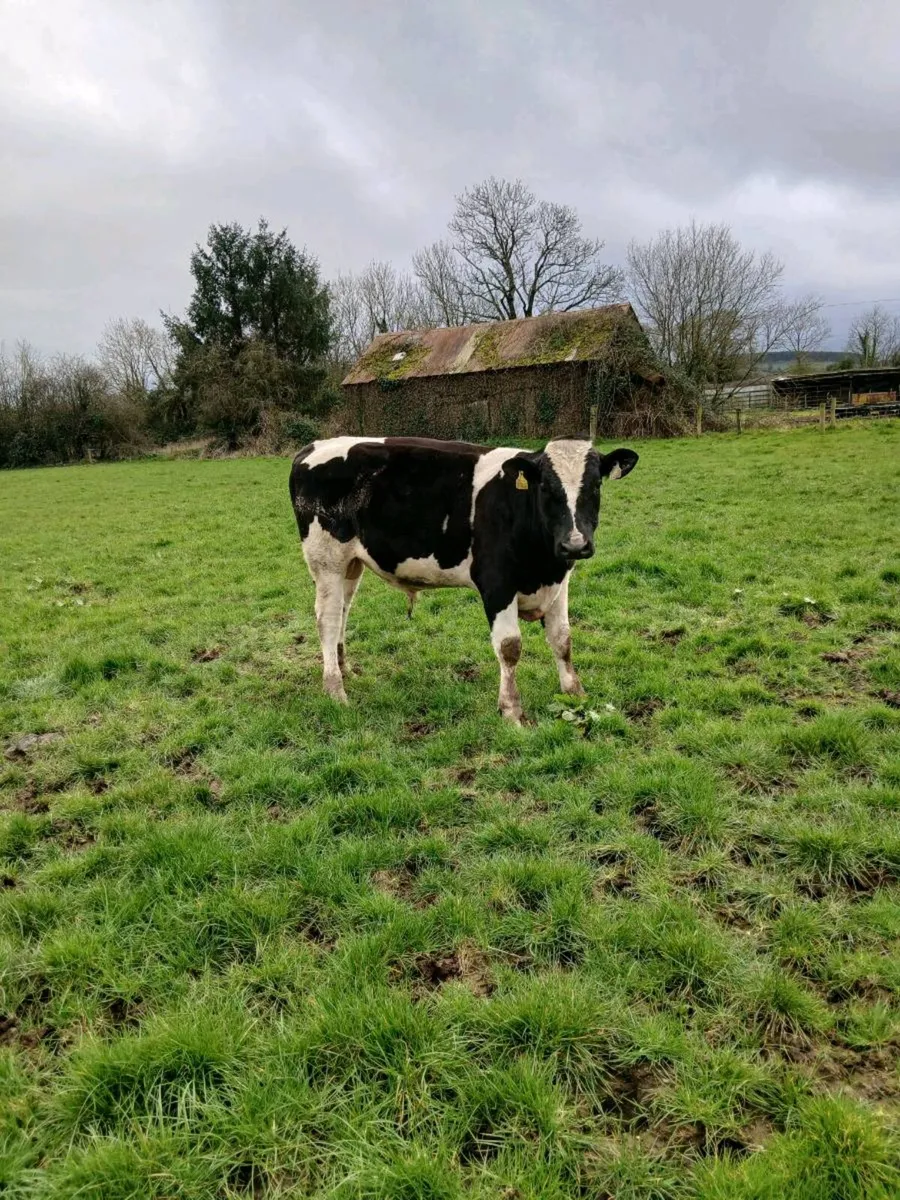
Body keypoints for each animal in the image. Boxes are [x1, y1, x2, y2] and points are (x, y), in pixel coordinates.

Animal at [288, 435, 638, 724]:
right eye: (546, 488)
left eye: (595, 485)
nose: (575, 544)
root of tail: (314, 446)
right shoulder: (496, 583)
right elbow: (510, 647)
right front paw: (512, 711)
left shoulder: (559, 582)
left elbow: (563, 639)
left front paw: (575, 692)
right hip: (327, 561)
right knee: (327, 620)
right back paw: (335, 690)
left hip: (351, 565)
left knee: (343, 612)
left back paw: (345, 671)